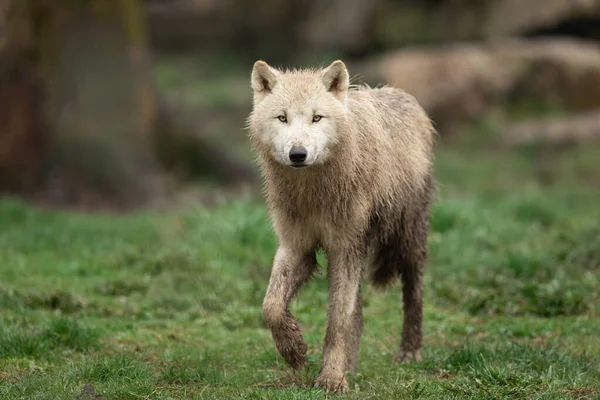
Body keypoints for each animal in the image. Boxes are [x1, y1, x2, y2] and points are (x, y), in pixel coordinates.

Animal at [246, 60, 434, 394]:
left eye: (316, 117)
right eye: (282, 118)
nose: (298, 154)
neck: (313, 192)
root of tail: (400, 94)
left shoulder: (345, 248)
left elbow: (337, 321)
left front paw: (332, 378)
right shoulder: (296, 246)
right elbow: (271, 307)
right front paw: (295, 351)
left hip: (406, 242)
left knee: (414, 294)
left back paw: (410, 352)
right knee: (357, 314)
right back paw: (353, 364)